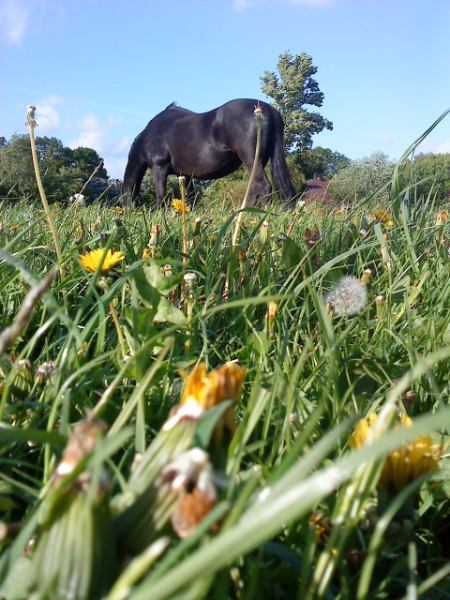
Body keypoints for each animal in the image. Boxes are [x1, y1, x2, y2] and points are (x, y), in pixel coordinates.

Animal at [122, 99, 296, 207]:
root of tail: (267, 109)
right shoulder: (185, 175)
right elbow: (190, 199)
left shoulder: (159, 168)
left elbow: (161, 196)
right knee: (255, 190)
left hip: (252, 161)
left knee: (263, 187)